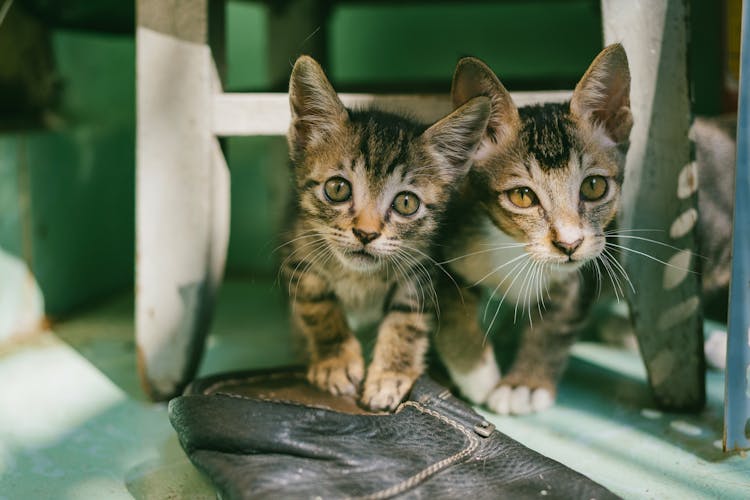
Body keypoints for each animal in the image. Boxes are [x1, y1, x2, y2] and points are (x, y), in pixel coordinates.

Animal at [282, 56, 494, 412]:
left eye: (406, 203)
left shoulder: (421, 270)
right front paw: (335, 361)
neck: (360, 278)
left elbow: (406, 321)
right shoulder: (298, 253)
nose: (366, 234)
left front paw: (391, 375)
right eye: (337, 188)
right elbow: (317, 305)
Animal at [434, 44, 636, 414]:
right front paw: (478, 374)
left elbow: (553, 327)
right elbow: (451, 311)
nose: (569, 244)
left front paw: (524, 385)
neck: (520, 252)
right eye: (523, 196)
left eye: (594, 187)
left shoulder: (581, 276)